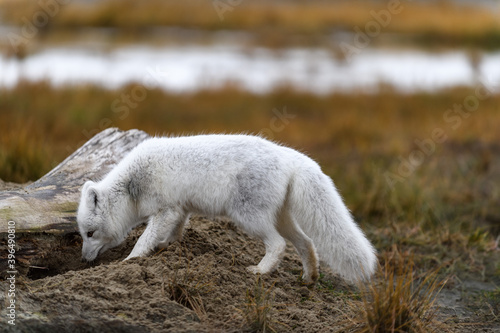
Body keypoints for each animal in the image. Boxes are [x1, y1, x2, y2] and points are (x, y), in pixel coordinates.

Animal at [76, 134, 376, 282]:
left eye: (89, 234)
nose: (82, 260)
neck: (132, 185)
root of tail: (290, 156)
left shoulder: (166, 209)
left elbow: (144, 239)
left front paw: (131, 261)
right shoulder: (180, 209)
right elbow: (176, 231)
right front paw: (167, 246)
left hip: (249, 218)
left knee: (279, 244)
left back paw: (260, 271)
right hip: (281, 218)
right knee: (306, 243)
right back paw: (309, 277)